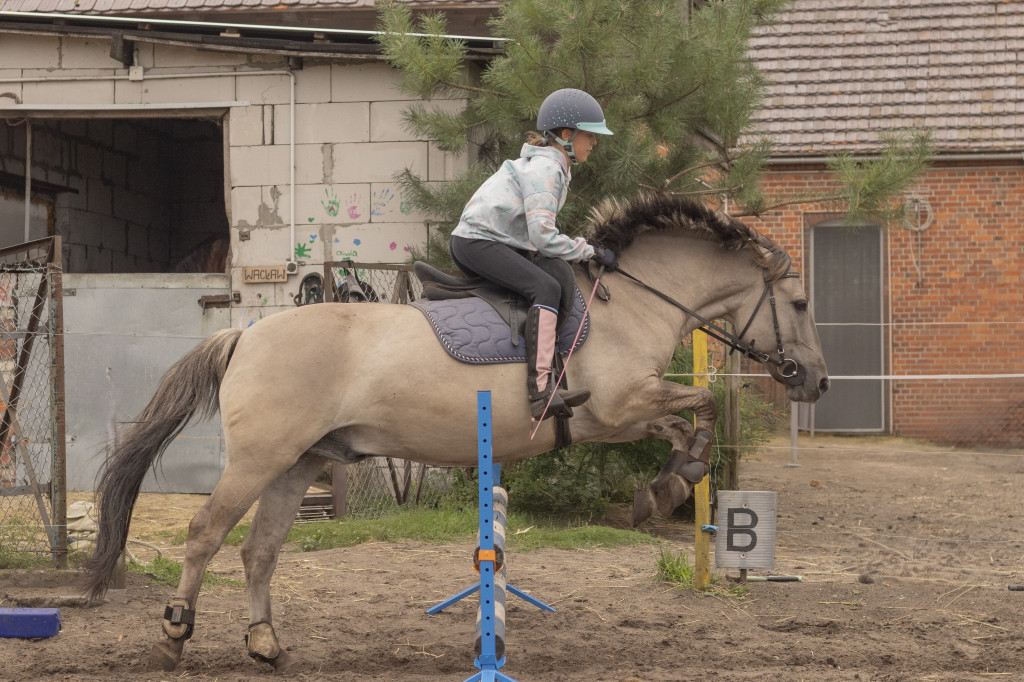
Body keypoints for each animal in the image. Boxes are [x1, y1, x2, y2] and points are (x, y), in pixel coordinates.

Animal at [81, 191, 831, 667]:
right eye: (797, 303)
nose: (817, 383)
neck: (630, 303)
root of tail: (244, 334)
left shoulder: (620, 415)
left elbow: (686, 421)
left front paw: (669, 486)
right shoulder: (619, 406)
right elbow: (701, 405)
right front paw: (673, 486)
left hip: (299, 463)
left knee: (259, 551)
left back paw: (264, 643)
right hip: (259, 460)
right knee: (205, 534)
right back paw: (174, 635)